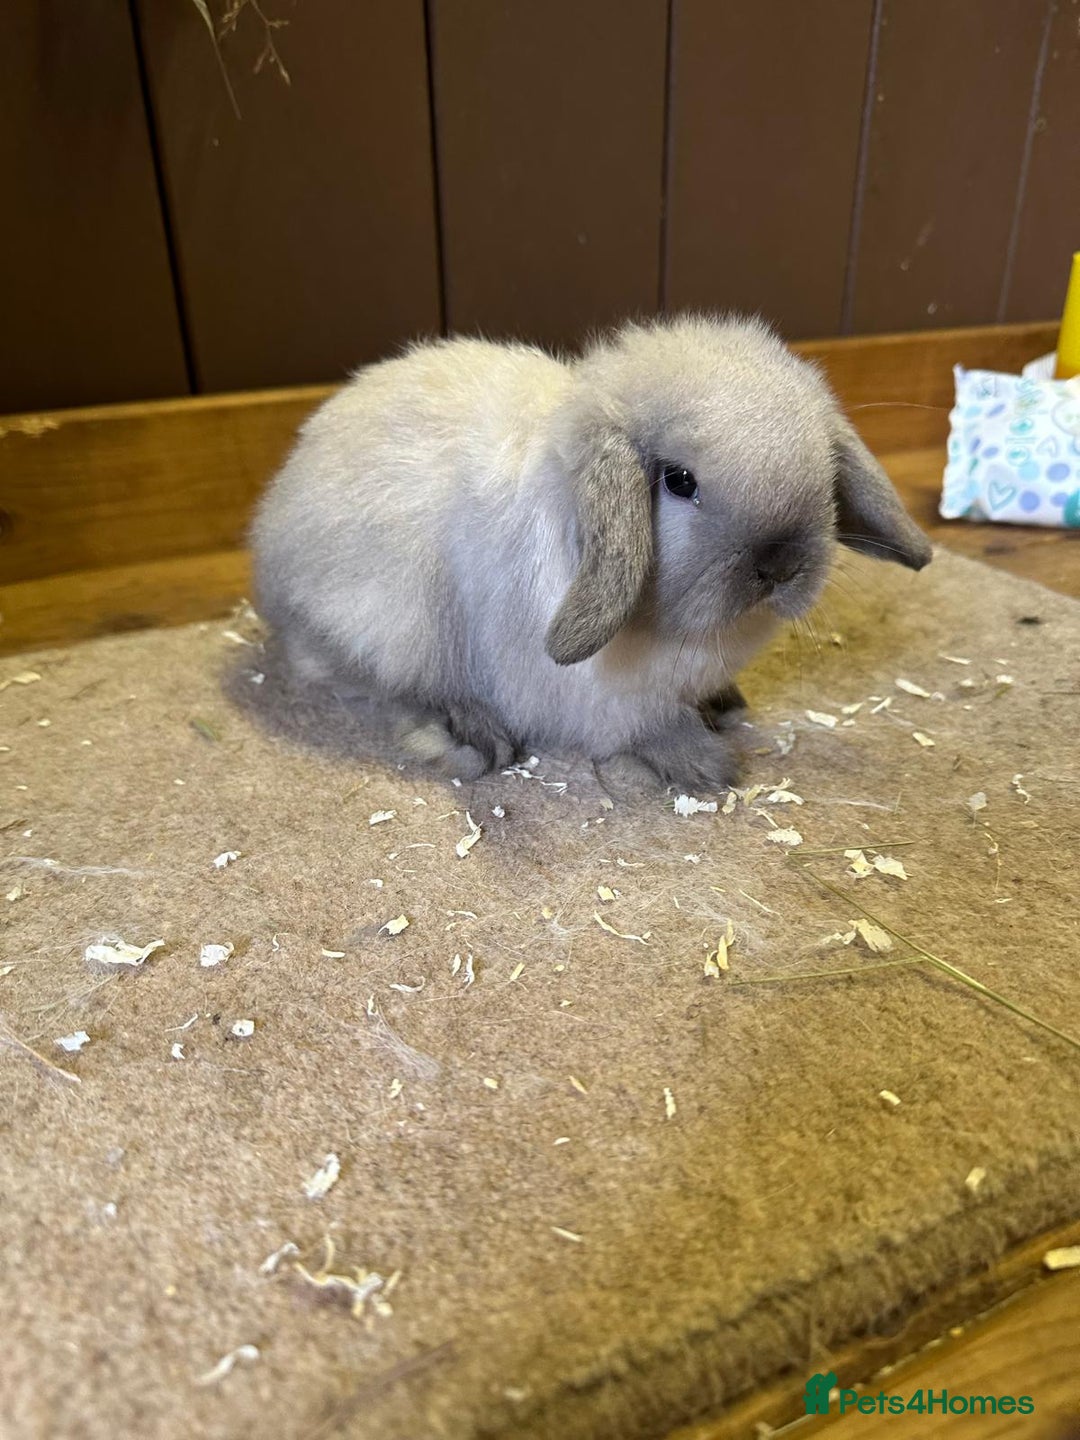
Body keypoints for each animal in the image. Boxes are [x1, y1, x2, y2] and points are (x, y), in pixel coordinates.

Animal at [250, 314, 931, 790]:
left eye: (825, 469)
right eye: (679, 481)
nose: (780, 566)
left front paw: (724, 708)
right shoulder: (604, 700)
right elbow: (645, 729)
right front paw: (704, 764)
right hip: (392, 625)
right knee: (380, 686)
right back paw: (469, 733)